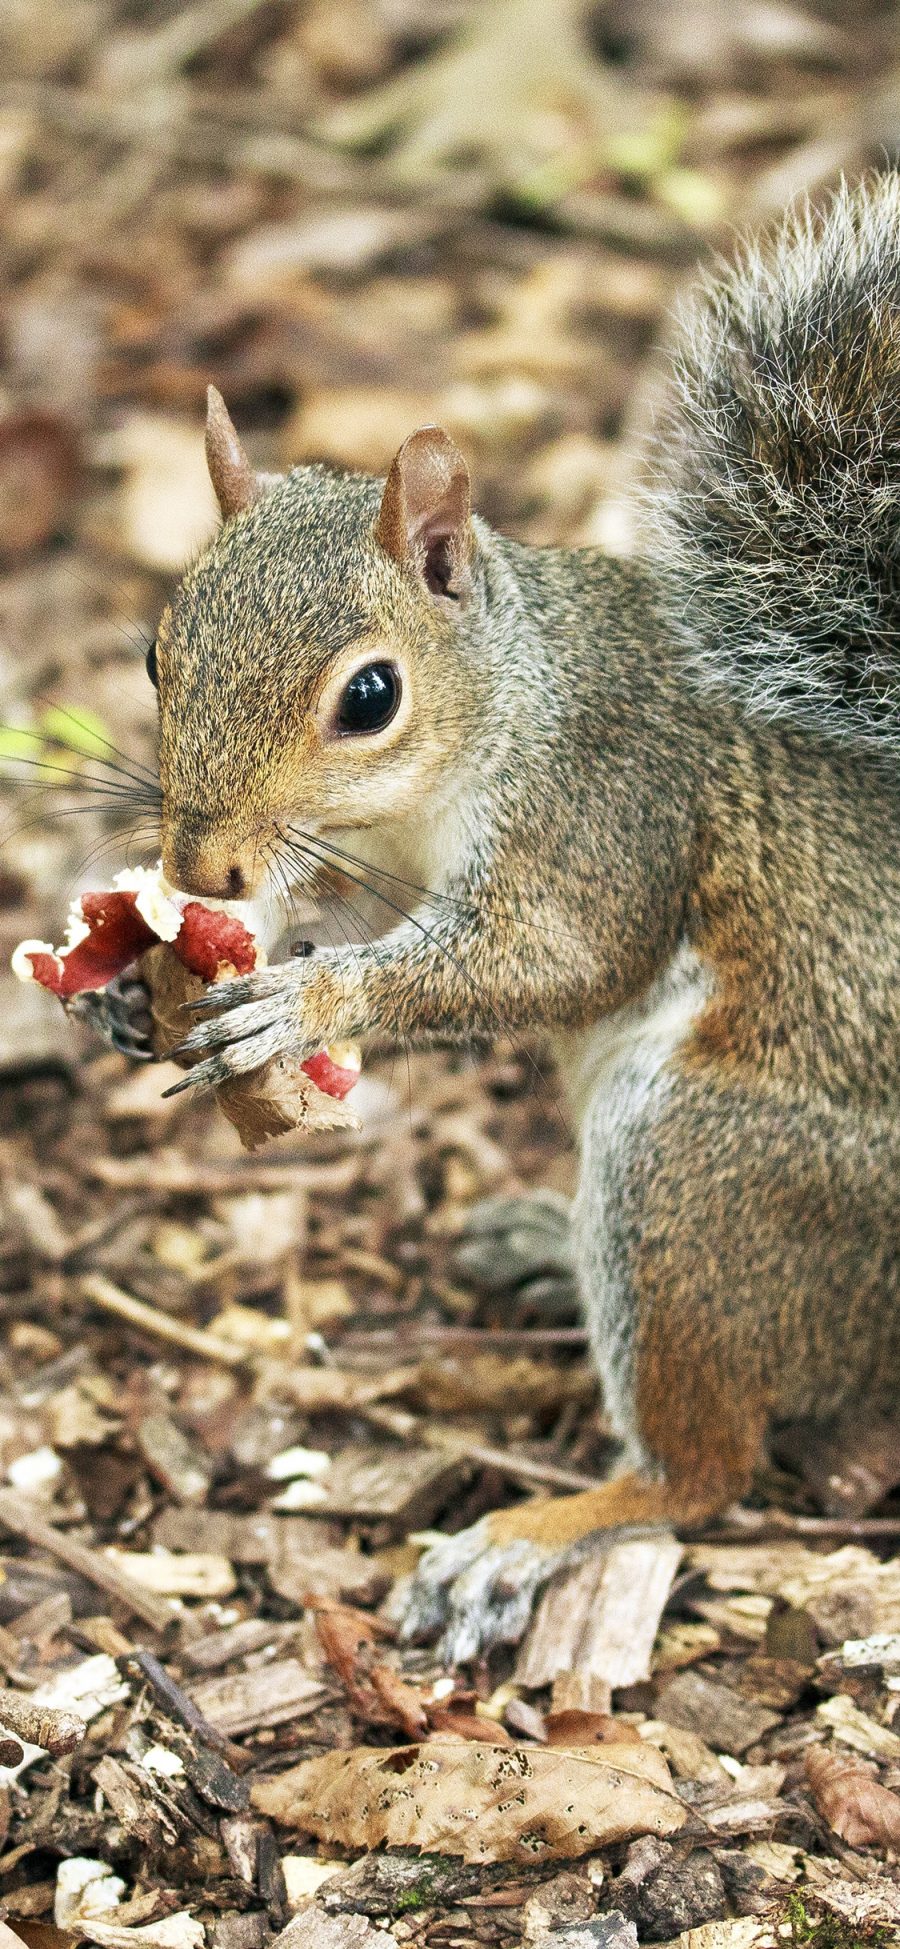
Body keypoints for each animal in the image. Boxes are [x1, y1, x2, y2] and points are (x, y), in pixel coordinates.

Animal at [139, 171, 900, 1660]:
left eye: (369, 696)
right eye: (156, 649)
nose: (201, 865)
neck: (502, 701)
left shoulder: (608, 801)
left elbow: (561, 956)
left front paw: (305, 998)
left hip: (706, 1174)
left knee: (705, 1472)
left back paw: (529, 1539)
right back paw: (541, 1246)